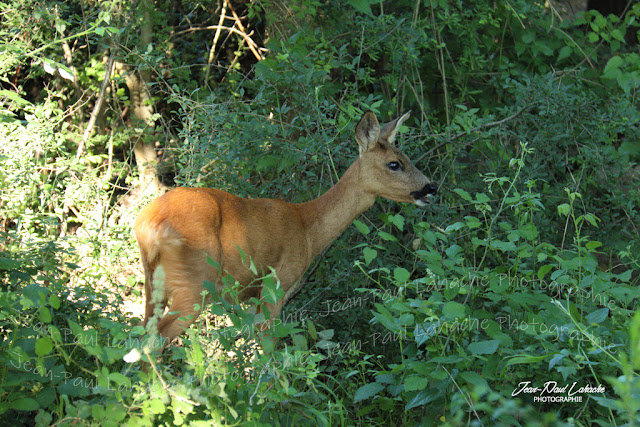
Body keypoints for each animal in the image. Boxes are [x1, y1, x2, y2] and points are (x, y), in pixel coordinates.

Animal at [133, 110, 438, 344]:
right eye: (394, 164)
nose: (430, 187)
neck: (307, 228)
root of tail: (148, 223)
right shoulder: (276, 284)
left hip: (153, 281)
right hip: (194, 281)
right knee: (154, 341)